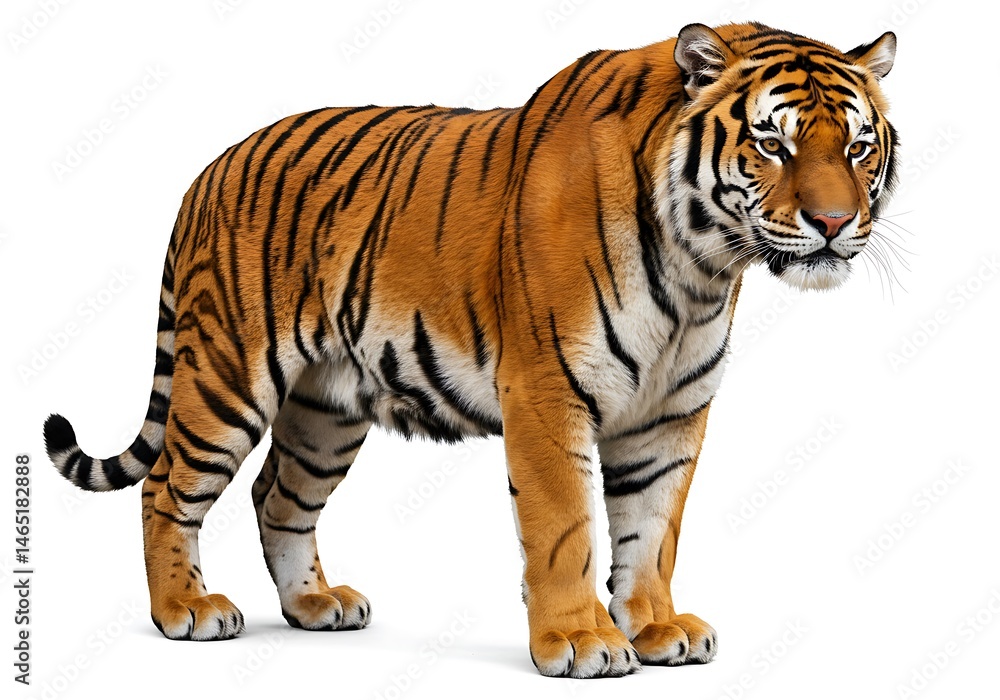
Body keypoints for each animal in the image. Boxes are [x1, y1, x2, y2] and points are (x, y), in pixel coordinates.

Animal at [44, 22, 897, 678]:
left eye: (858, 146)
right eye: (772, 144)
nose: (833, 224)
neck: (702, 269)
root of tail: (208, 169)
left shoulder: (671, 414)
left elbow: (653, 530)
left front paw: (657, 628)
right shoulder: (548, 391)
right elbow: (565, 528)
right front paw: (581, 641)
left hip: (325, 411)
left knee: (276, 497)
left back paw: (315, 604)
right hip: (227, 376)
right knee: (165, 487)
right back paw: (184, 609)